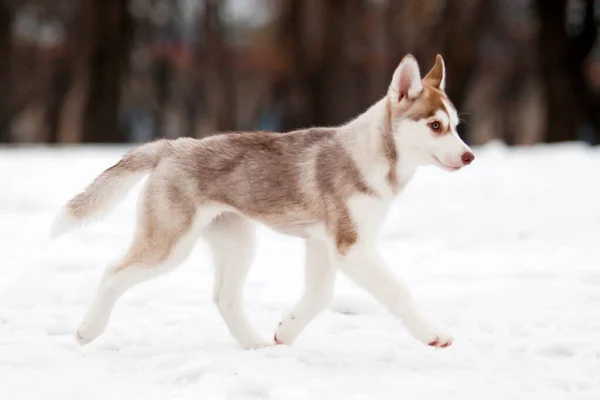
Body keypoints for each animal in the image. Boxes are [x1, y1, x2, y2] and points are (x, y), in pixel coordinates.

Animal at [51, 54, 474, 350]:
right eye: (435, 126)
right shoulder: (351, 246)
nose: (470, 157)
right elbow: (398, 290)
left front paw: (286, 332)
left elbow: (320, 295)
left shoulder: (324, 245)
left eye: (455, 125)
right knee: (113, 272)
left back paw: (254, 345)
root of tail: (172, 146)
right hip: (170, 244)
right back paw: (88, 330)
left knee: (223, 297)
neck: (372, 158)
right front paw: (434, 334)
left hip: (238, 241)